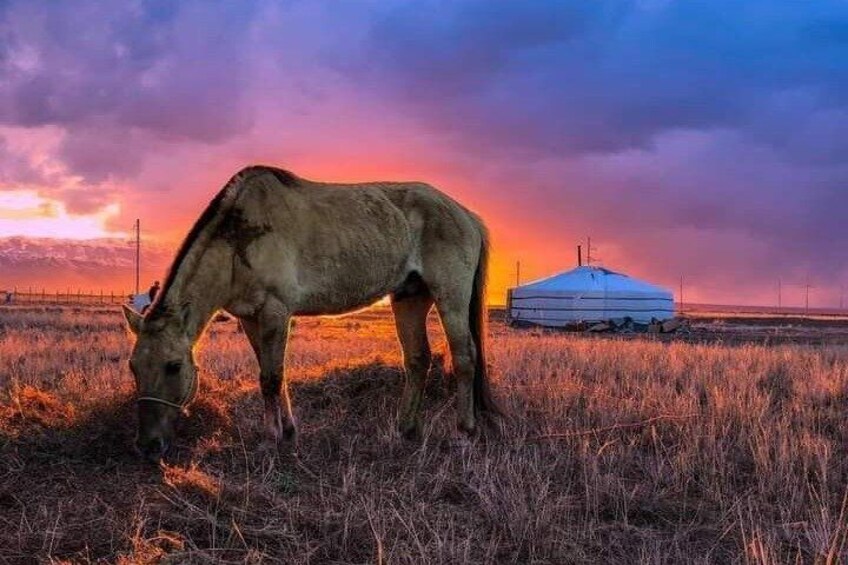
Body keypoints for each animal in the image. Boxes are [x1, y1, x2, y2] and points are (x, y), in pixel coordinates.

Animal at [122, 165, 499, 461]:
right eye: (134, 367)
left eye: (173, 366)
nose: (147, 445)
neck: (238, 240)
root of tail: (466, 214)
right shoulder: (250, 318)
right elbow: (273, 375)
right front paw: (287, 433)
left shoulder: (275, 312)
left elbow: (271, 378)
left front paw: (271, 440)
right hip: (410, 296)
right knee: (418, 359)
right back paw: (405, 429)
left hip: (450, 296)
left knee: (464, 357)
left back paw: (464, 433)